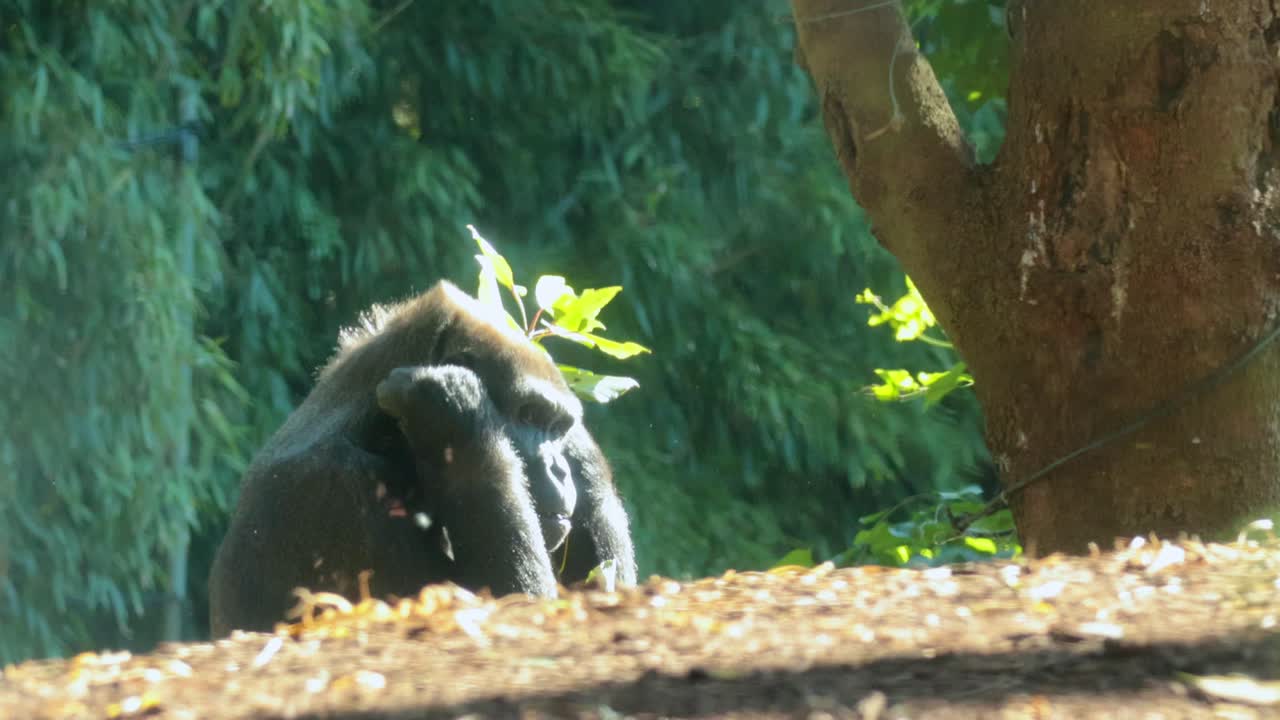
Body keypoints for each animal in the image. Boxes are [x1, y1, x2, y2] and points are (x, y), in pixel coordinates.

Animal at [208, 281, 636, 636]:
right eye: (529, 416)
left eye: (557, 426)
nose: (559, 471)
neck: (377, 428)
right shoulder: (340, 491)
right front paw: (459, 417)